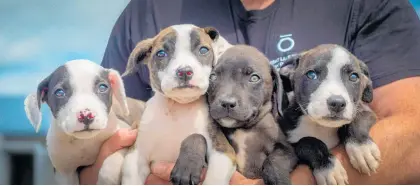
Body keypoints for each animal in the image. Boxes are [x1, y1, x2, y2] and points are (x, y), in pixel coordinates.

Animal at [120, 23, 236, 185]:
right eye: (161, 54)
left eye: (203, 50)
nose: (185, 72)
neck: (177, 108)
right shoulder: (137, 155)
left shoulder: (223, 152)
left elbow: (214, 178)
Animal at [206, 45, 296, 185]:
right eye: (213, 77)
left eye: (254, 78)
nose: (227, 103)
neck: (243, 129)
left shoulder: (287, 149)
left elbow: (273, 162)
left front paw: (278, 180)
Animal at [278, 44, 380, 185]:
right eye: (311, 74)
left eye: (354, 77)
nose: (337, 103)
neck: (321, 127)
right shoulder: (289, 145)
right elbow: (308, 142)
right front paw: (329, 168)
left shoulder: (366, 111)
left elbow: (356, 121)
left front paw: (362, 147)